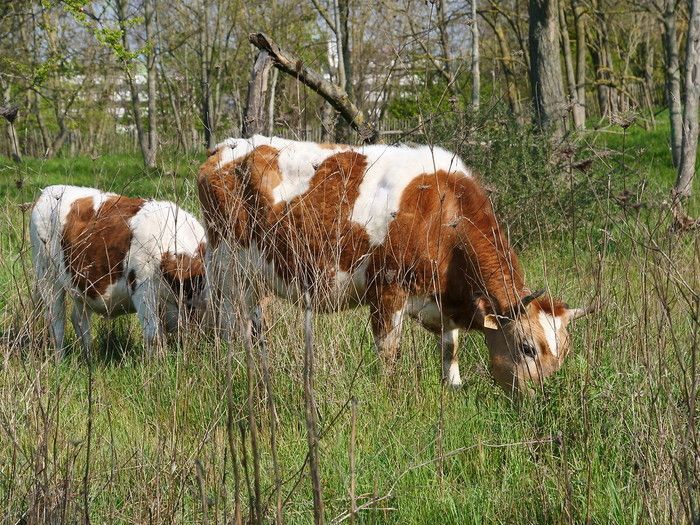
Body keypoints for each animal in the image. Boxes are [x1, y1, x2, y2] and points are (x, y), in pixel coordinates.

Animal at [30, 184, 205, 356]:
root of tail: (48, 191)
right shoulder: (144, 292)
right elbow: (153, 337)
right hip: (47, 277)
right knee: (56, 324)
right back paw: (60, 360)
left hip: (81, 285)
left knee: (79, 320)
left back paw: (89, 358)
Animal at [198, 135, 596, 392]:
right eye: (528, 348)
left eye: (564, 352)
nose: (544, 398)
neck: (444, 213)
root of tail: (225, 147)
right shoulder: (387, 290)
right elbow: (389, 352)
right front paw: (389, 395)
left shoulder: (440, 298)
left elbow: (450, 348)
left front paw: (453, 387)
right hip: (228, 269)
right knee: (230, 325)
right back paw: (239, 369)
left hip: (258, 279)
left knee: (255, 326)